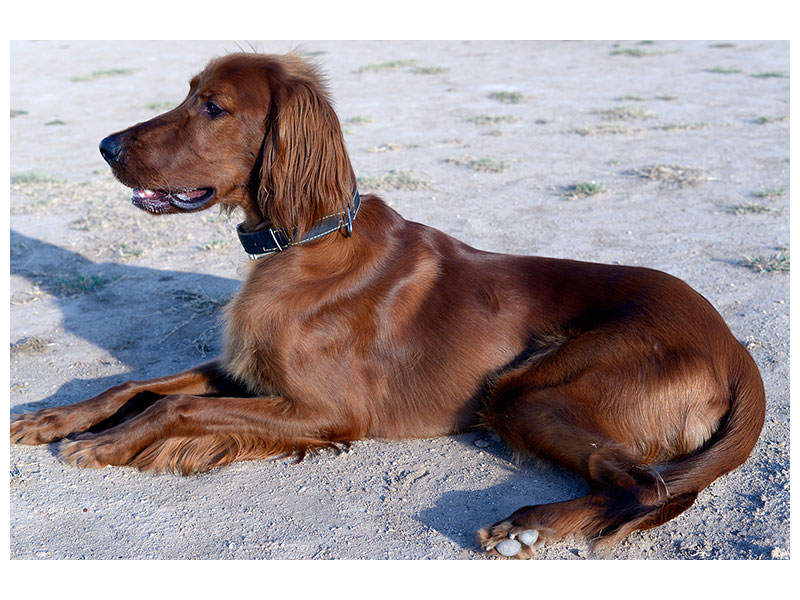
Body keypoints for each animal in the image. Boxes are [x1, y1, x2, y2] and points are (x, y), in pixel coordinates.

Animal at [10, 54, 764, 560]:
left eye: (213, 106)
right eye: (188, 93)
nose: (105, 145)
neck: (304, 240)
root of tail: (735, 349)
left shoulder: (327, 412)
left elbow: (174, 407)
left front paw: (103, 443)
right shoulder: (249, 371)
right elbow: (137, 383)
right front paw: (51, 419)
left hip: (530, 391)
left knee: (650, 486)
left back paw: (529, 526)